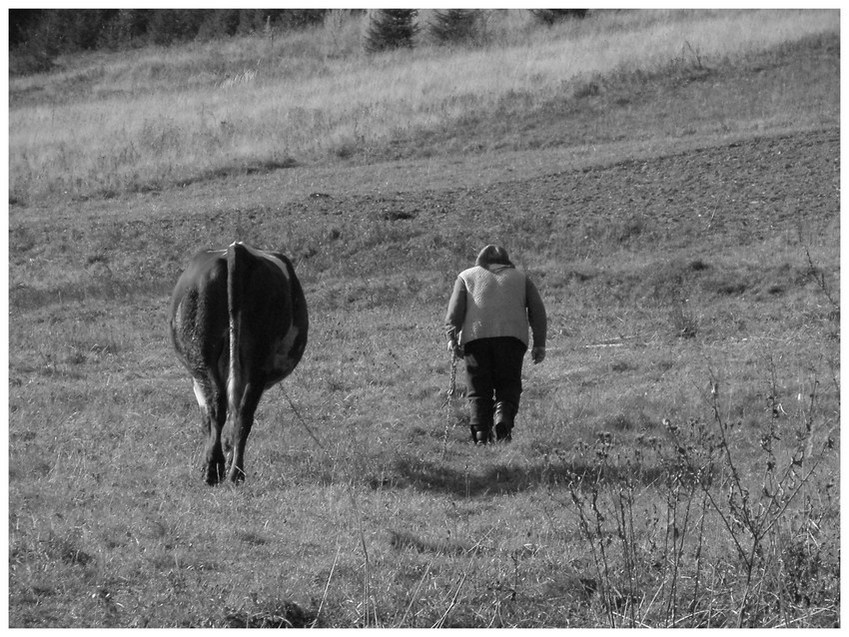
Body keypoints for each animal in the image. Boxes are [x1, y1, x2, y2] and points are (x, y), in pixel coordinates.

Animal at [169, 241, 308, 484]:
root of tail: (237, 250)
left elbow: (207, 419)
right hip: (254, 364)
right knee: (239, 413)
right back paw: (232, 472)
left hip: (209, 359)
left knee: (222, 408)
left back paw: (219, 472)